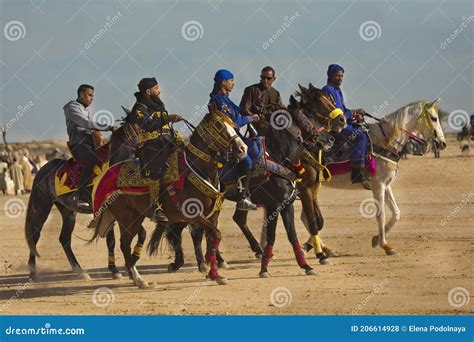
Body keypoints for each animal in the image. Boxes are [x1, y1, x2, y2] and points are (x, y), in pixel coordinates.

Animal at [91, 107, 248, 288]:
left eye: (232, 124)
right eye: (218, 125)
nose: (243, 148)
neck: (198, 169)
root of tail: (108, 174)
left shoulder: (212, 216)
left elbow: (212, 238)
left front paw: (214, 274)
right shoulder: (194, 214)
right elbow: (214, 235)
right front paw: (209, 268)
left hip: (137, 216)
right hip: (126, 218)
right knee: (124, 244)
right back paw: (139, 279)